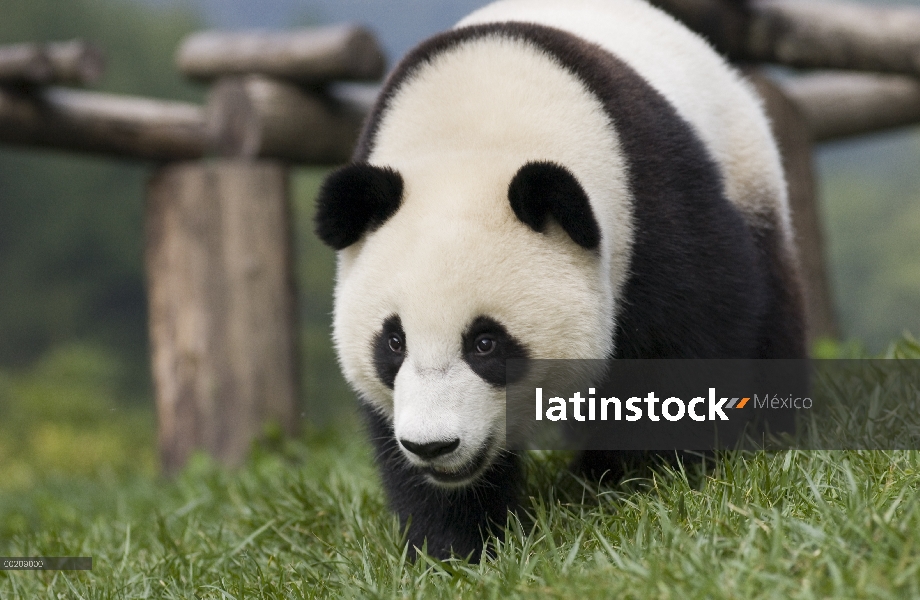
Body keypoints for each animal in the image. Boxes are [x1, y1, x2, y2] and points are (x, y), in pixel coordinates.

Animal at [312, 0, 800, 564]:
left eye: (485, 342)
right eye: (393, 341)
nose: (434, 447)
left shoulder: (651, 201)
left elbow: (686, 342)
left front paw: (653, 479)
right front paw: (458, 545)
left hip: (747, 172)